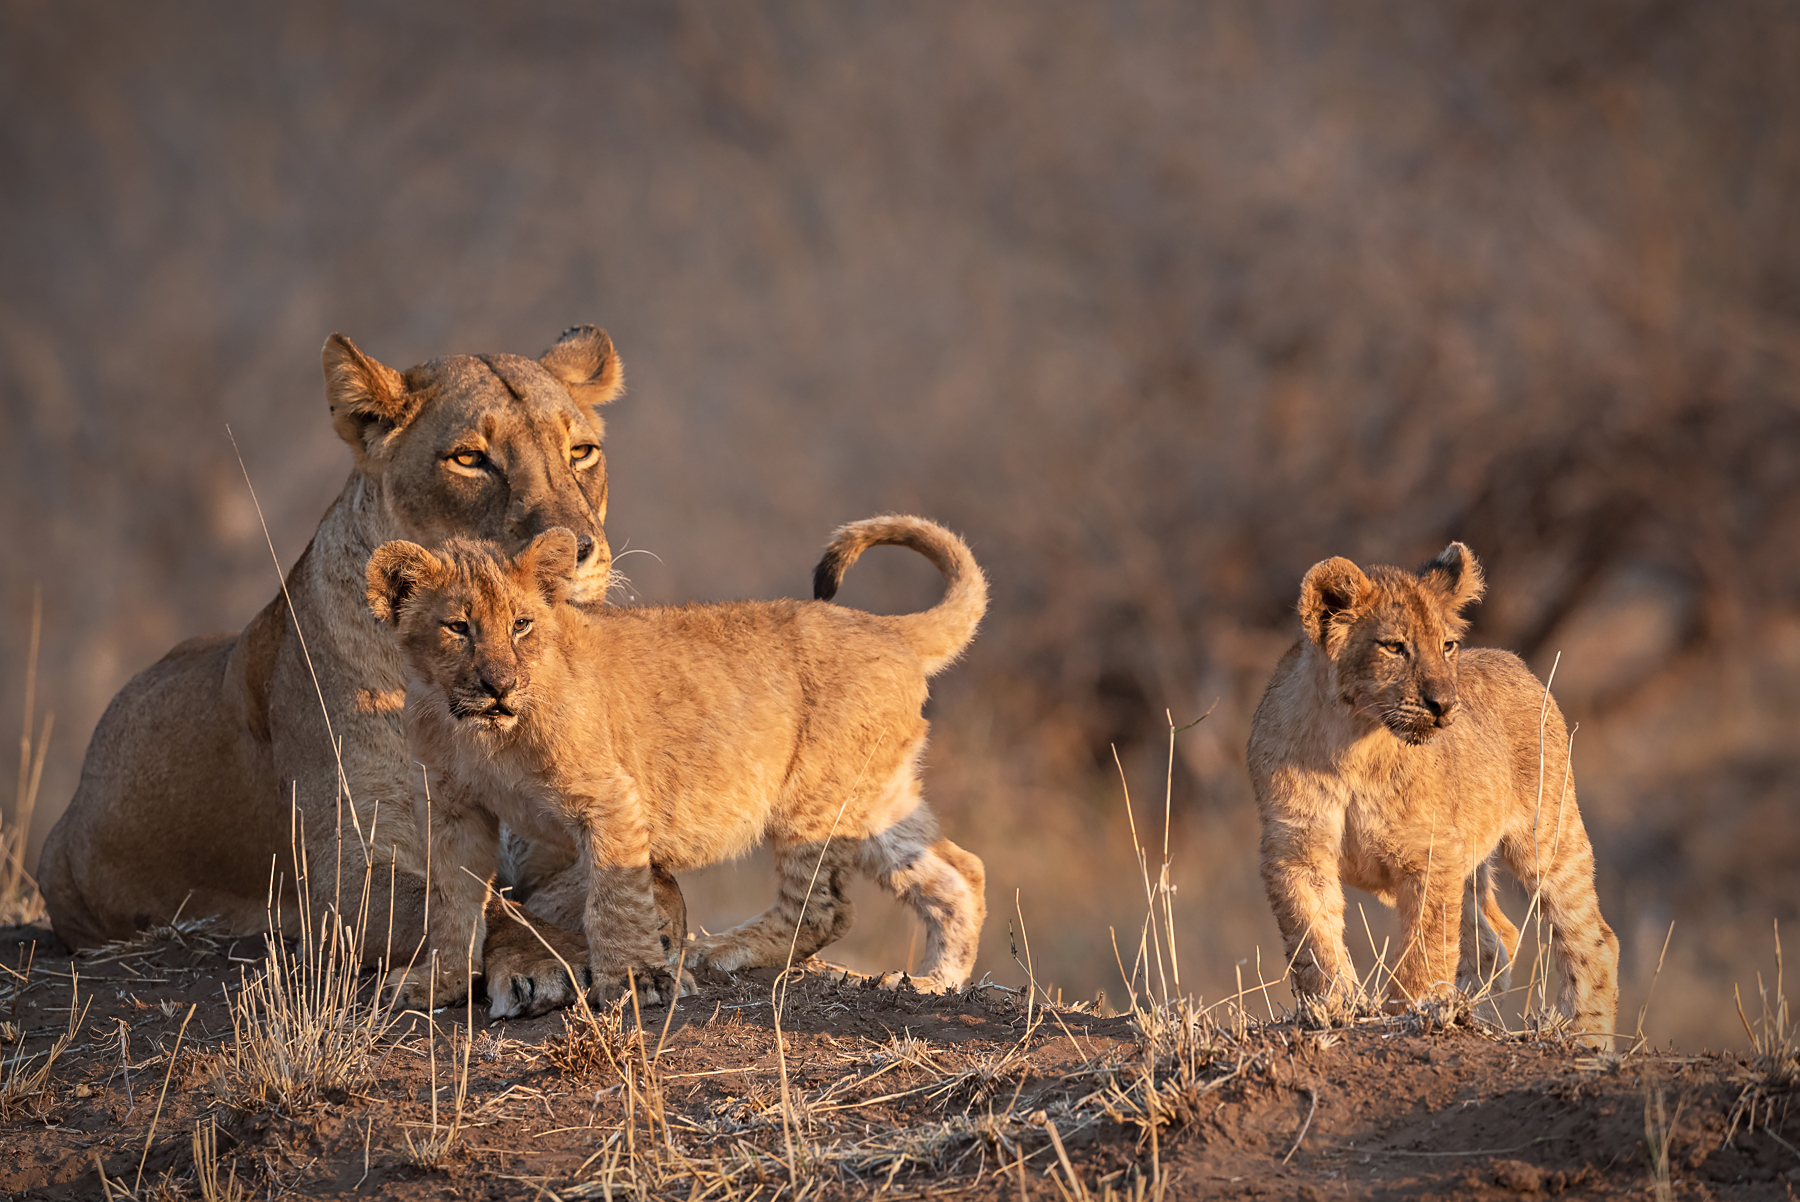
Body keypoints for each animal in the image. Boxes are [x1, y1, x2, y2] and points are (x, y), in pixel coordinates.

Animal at [39, 327, 682, 1006]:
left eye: (581, 451)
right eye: (470, 459)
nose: (577, 550)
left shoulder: (553, 838)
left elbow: (651, 881)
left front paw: (654, 935)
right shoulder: (341, 885)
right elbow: (471, 905)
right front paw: (551, 959)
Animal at [364, 515, 989, 1014]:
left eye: (521, 624)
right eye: (458, 627)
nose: (499, 686)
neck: (482, 735)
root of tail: (887, 627)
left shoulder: (610, 799)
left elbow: (615, 900)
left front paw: (637, 981)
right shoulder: (455, 809)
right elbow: (453, 904)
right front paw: (437, 985)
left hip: (814, 795)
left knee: (825, 909)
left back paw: (725, 949)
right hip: (873, 796)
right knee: (961, 872)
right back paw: (934, 984)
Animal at [1246, 543, 1619, 1046]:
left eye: (1447, 646)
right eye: (1394, 647)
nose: (1444, 705)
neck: (1353, 744)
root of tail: (1516, 662)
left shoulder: (1429, 852)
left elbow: (1425, 945)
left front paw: (1410, 1011)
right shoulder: (1295, 848)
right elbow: (1313, 936)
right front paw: (1335, 1005)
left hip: (1548, 835)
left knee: (1592, 936)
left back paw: (1586, 1039)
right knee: (1495, 939)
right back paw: (1465, 1008)